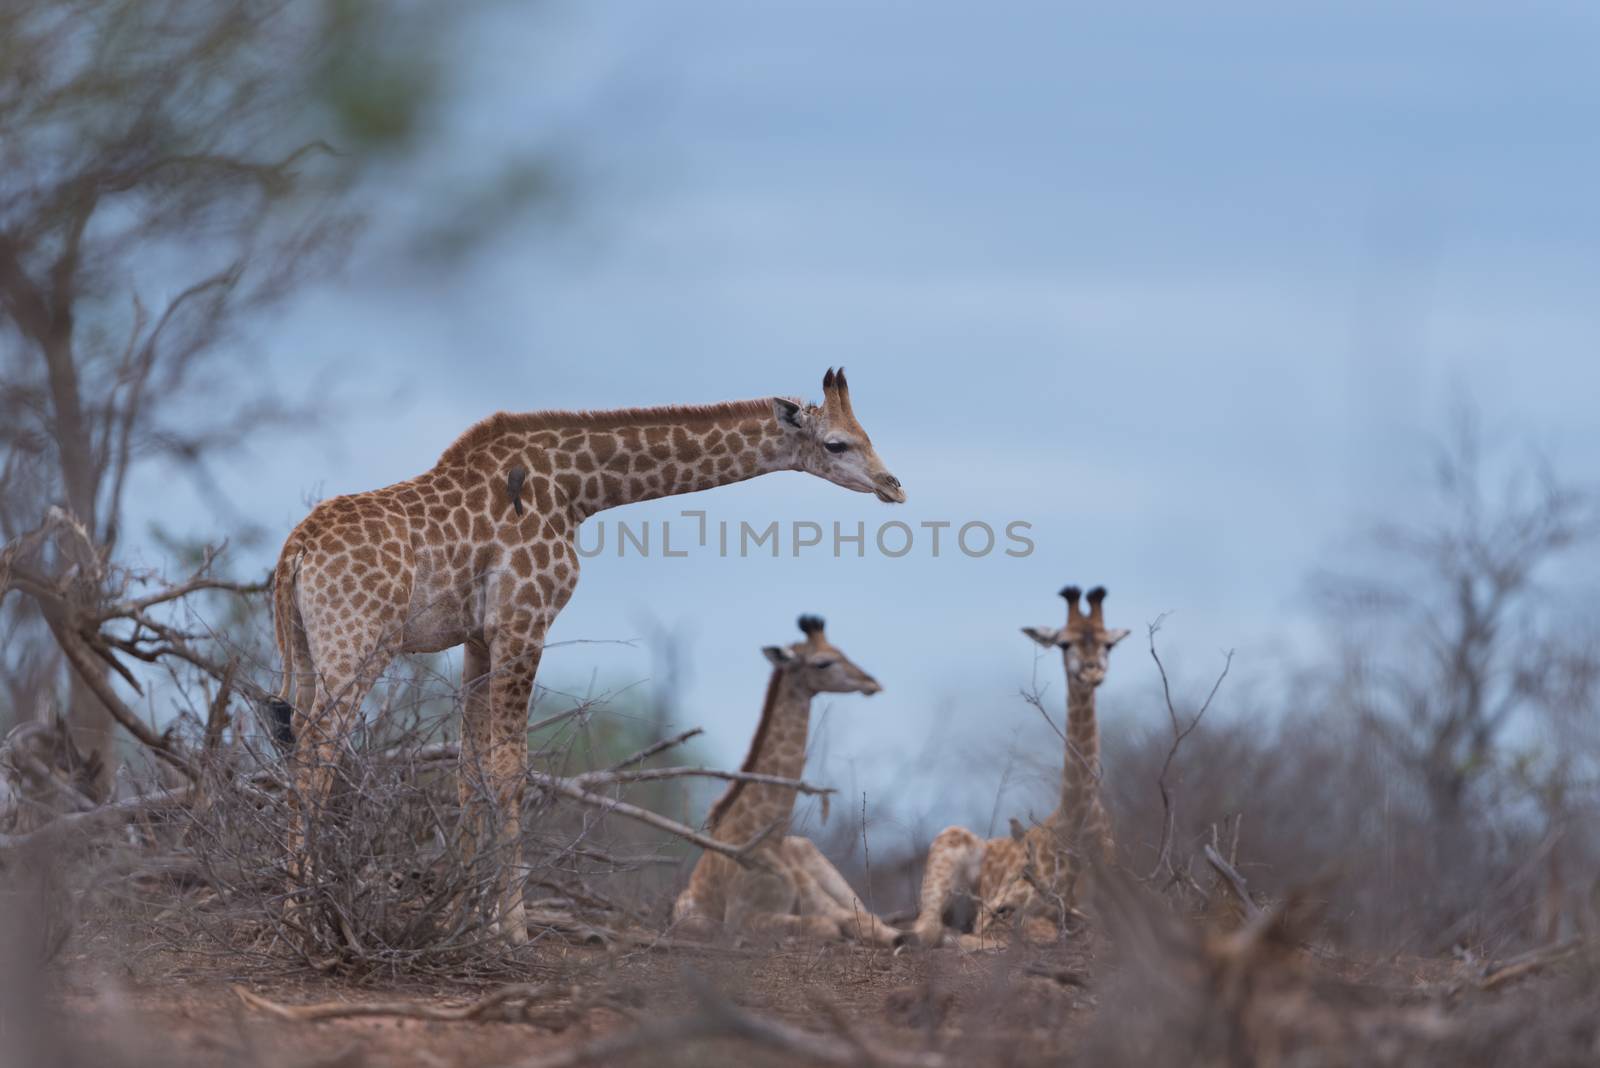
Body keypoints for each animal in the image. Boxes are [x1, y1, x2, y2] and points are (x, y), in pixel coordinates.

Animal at [672, 613, 908, 946]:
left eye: (842, 650)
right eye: (823, 662)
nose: (871, 682)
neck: (766, 835)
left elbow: (858, 922)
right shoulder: (741, 918)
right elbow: (829, 926)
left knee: (871, 916)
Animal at [908, 588, 1132, 946]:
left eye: (1108, 644)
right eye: (1064, 643)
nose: (1092, 671)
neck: (1075, 824)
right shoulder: (1004, 905)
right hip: (947, 848)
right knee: (926, 927)